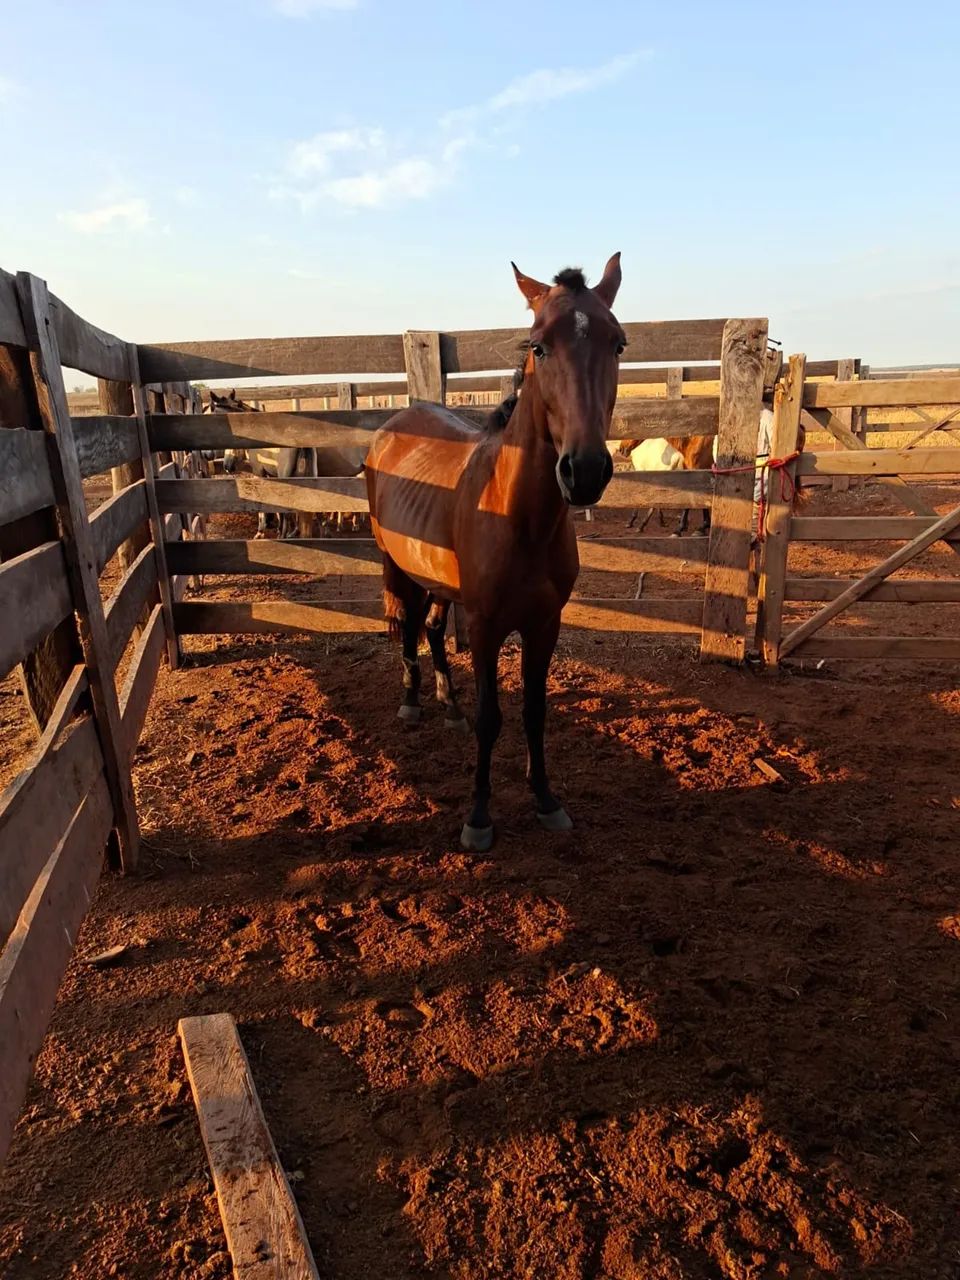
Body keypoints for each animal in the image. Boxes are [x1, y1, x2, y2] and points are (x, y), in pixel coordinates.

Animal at [366, 252, 624, 852]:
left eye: (618, 344)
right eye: (538, 346)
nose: (585, 471)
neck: (519, 520)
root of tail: (393, 424)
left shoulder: (544, 625)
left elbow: (533, 711)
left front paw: (546, 800)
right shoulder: (484, 625)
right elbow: (492, 717)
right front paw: (478, 817)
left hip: (440, 581)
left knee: (432, 627)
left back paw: (448, 704)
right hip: (398, 566)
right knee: (408, 625)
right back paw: (413, 701)